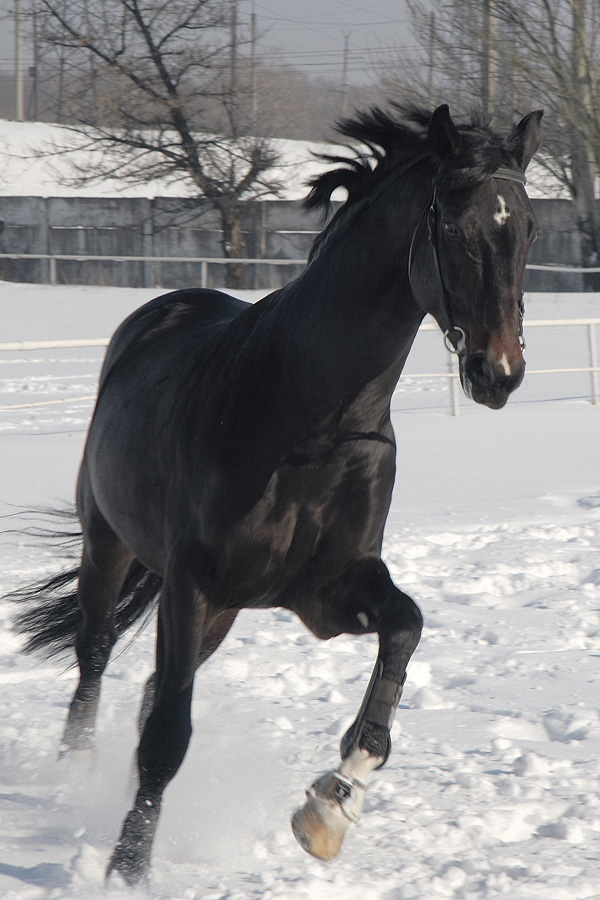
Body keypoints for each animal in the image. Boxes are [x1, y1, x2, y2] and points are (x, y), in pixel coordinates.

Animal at [10, 102, 544, 884]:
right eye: (452, 226)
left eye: (528, 226)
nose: (497, 373)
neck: (313, 422)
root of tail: (158, 313)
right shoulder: (193, 581)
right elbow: (167, 734)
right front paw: (127, 868)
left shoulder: (325, 590)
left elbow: (405, 626)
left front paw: (331, 807)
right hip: (111, 548)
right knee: (97, 657)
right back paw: (73, 775)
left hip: (221, 613)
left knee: (147, 685)